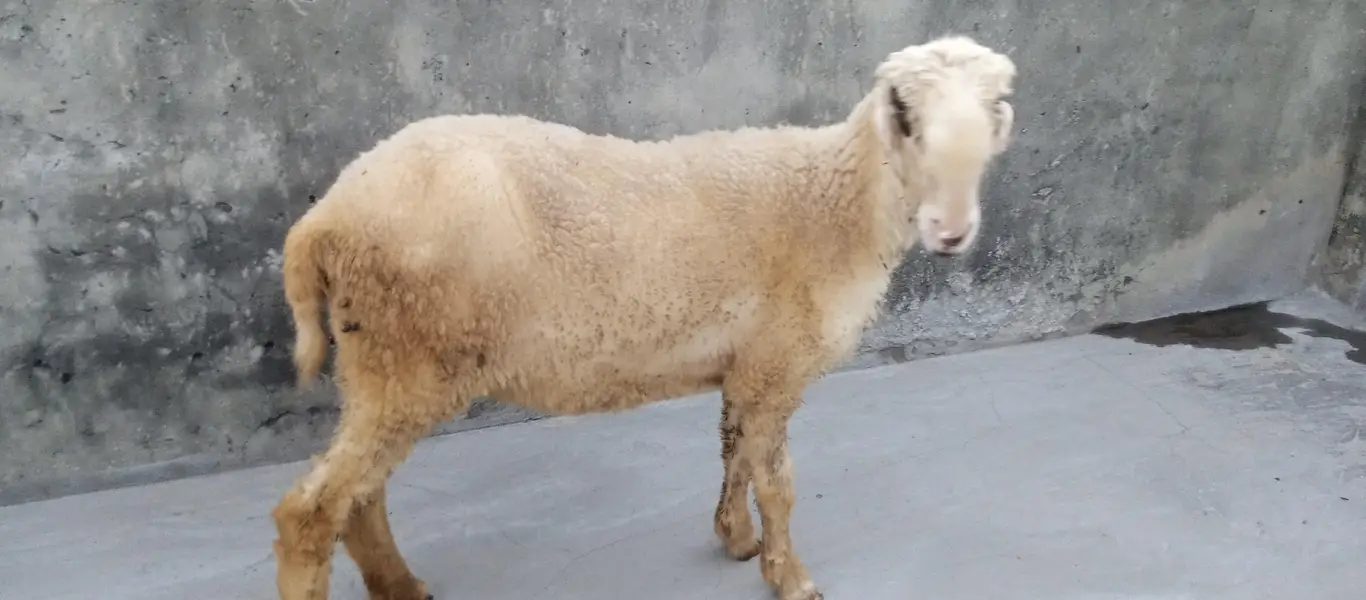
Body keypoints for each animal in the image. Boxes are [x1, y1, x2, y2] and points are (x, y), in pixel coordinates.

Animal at [270, 34, 1017, 600]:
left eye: (993, 112)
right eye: (906, 115)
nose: (951, 232)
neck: (840, 202)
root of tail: (322, 220)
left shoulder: (745, 361)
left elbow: (734, 453)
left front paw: (736, 540)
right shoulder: (777, 361)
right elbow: (778, 483)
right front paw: (792, 579)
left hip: (380, 358)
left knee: (361, 498)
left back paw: (400, 586)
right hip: (407, 352)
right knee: (310, 512)